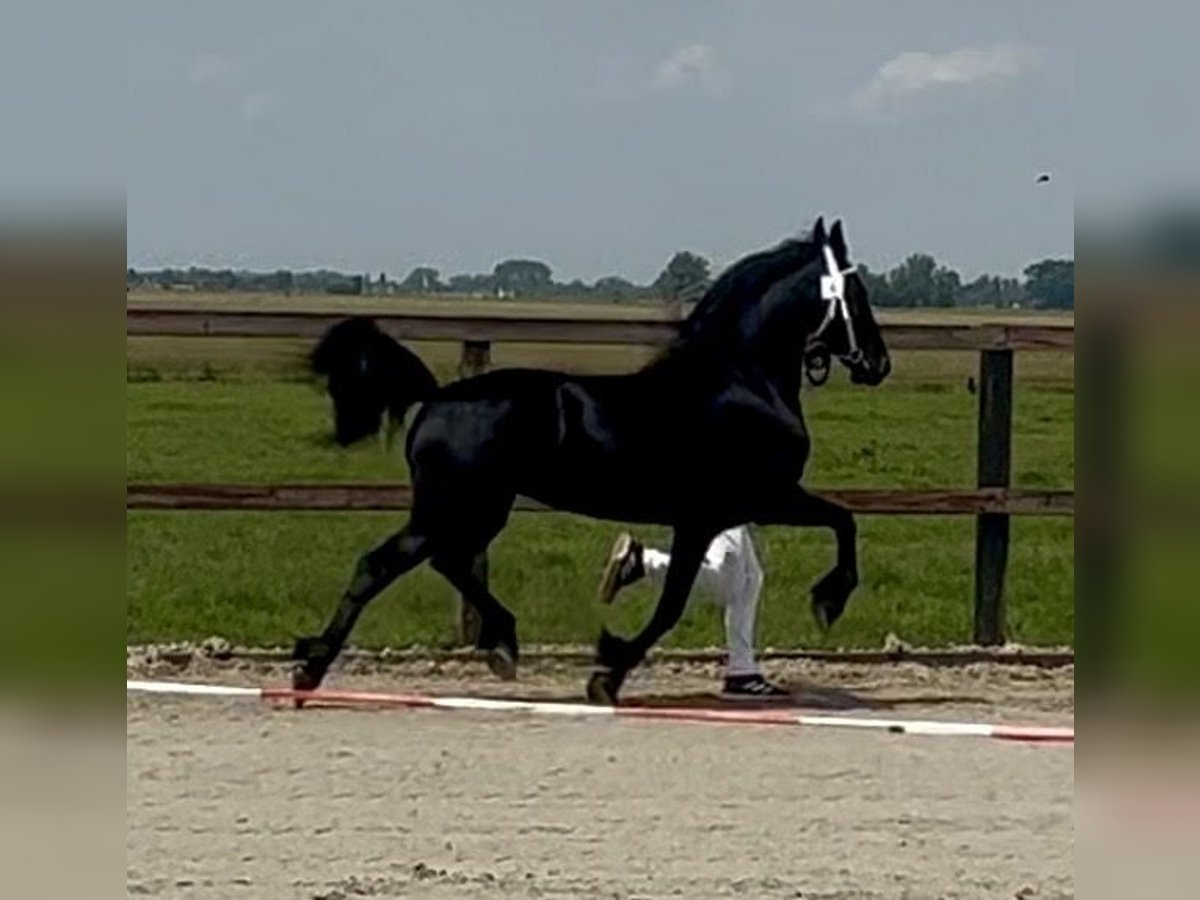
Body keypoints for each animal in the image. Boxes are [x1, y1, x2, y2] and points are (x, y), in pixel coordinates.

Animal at [293, 217, 891, 703]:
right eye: (857, 290)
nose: (878, 363)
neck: (741, 381)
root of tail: (438, 397)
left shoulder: (716, 515)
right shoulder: (745, 504)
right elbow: (839, 523)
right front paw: (829, 601)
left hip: (476, 510)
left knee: (444, 563)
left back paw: (498, 646)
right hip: (459, 508)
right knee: (387, 564)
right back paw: (313, 670)